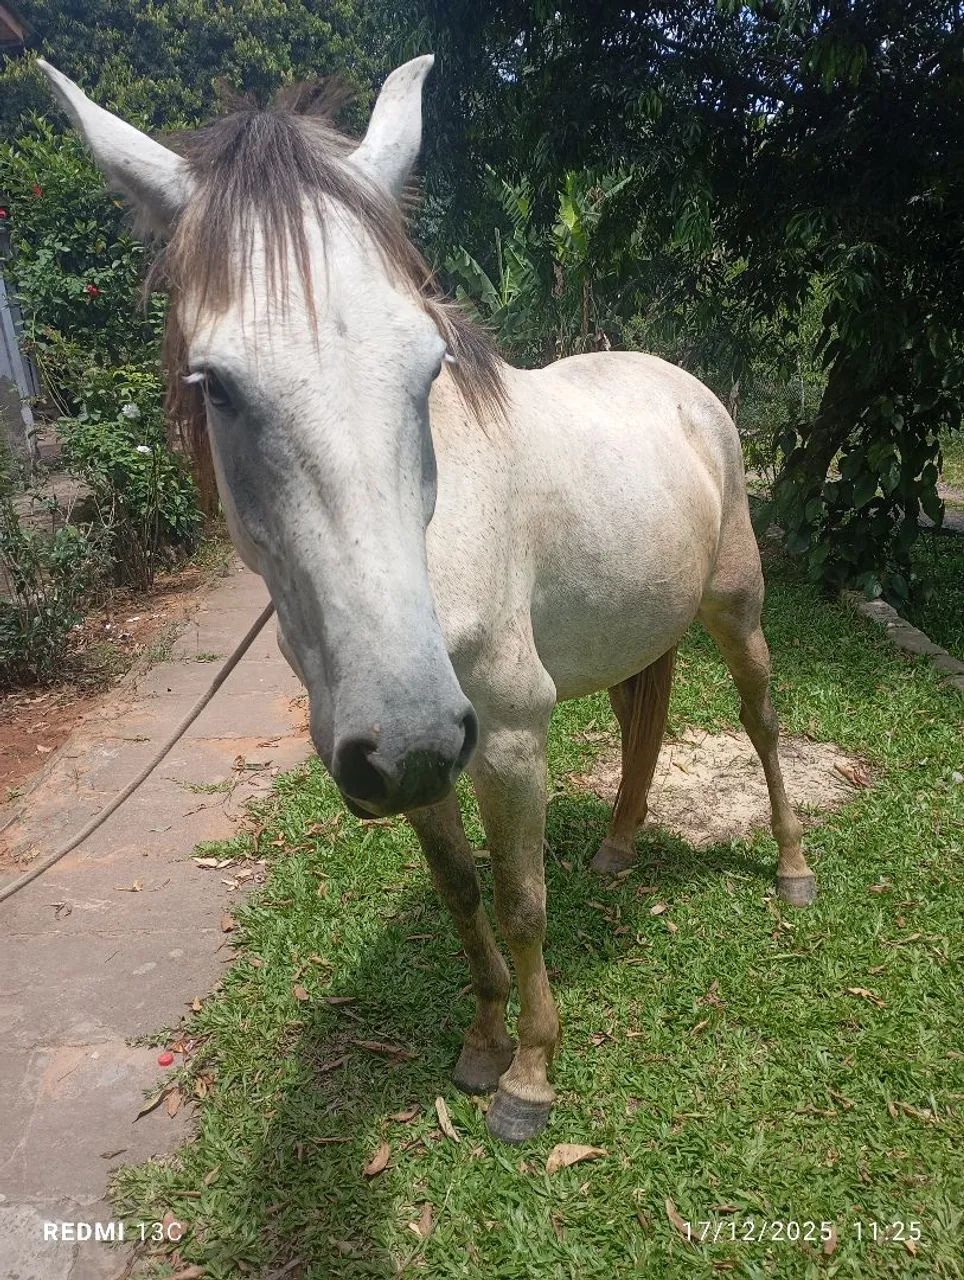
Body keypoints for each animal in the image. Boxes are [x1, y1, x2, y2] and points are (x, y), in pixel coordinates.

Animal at [40, 54, 817, 1143]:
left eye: (428, 363)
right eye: (216, 384)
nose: (407, 734)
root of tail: (683, 388)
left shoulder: (508, 738)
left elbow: (522, 901)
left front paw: (531, 1077)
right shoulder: (413, 761)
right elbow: (459, 893)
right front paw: (484, 1045)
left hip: (735, 611)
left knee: (761, 721)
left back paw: (792, 870)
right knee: (643, 719)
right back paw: (619, 846)